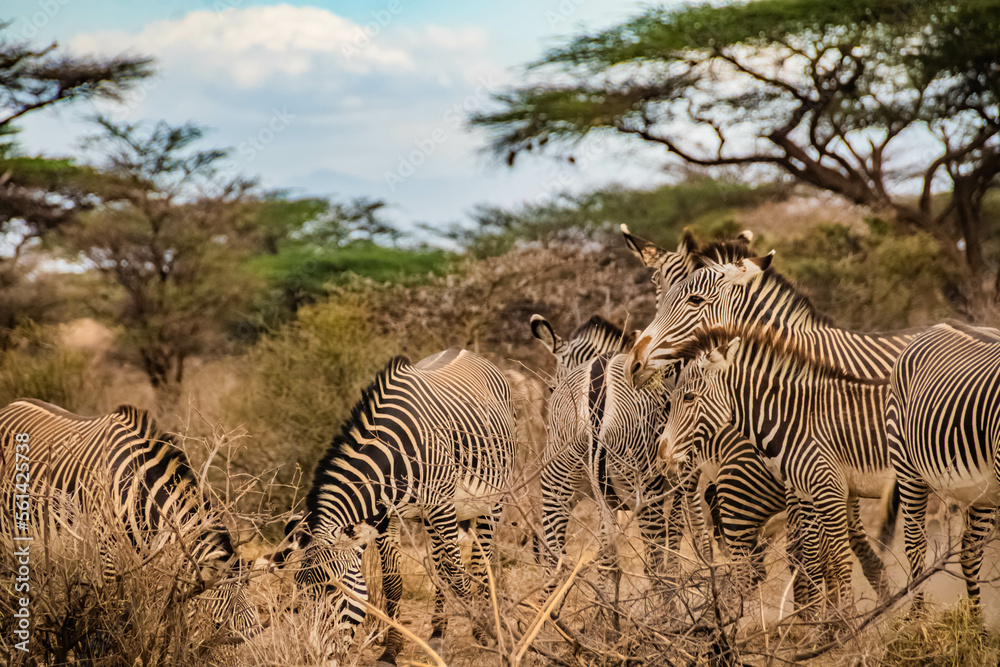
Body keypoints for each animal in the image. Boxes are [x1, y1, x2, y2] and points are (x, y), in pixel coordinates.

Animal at [0, 399, 262, 653]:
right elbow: (107, 621)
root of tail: (11, 405)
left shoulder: (147, 571)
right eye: (219, 625)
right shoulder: (106, 560)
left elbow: (136, 621)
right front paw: (101, 655)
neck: (139, 492)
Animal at [274, 349, 517, 666]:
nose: (312, 657)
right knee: (439, 564)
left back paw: (485, 626)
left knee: (479, 560)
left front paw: (490, 637)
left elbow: (458, 575)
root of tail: (467, 352)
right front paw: (391, 651)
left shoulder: (441, 507)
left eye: (332, 589)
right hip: (431, 518)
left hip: (492, 500)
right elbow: (393, 582)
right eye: (300, 593)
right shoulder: (386, 518)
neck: (393, 455)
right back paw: (438, 633)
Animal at [657, 326, 896, 620]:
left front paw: (842, 623)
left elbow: (831, 560)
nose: (662, 454)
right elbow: (829, 558)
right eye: (670, 401)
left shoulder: (826, 489)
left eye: (689, 397)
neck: (796, 418)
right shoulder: (830, 491)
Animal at [885, 321, 1000, 614]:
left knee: (970, 551)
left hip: (983, 491)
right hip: (906, 466)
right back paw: (917, 616)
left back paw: (976, 623)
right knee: (915, 542)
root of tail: (938, 324)